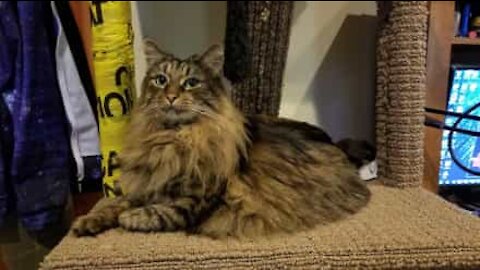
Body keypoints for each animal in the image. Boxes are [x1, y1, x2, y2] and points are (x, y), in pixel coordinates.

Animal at [72, 38, 372, 238]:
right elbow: (116, 203)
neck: (174, 139)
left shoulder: (196, 200)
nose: (171, 96)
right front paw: (87, 221)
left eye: (191, 83)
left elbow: (156, 212)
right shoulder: (150, 183)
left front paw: (129, 218)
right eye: (160, 80)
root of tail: (335, 143)